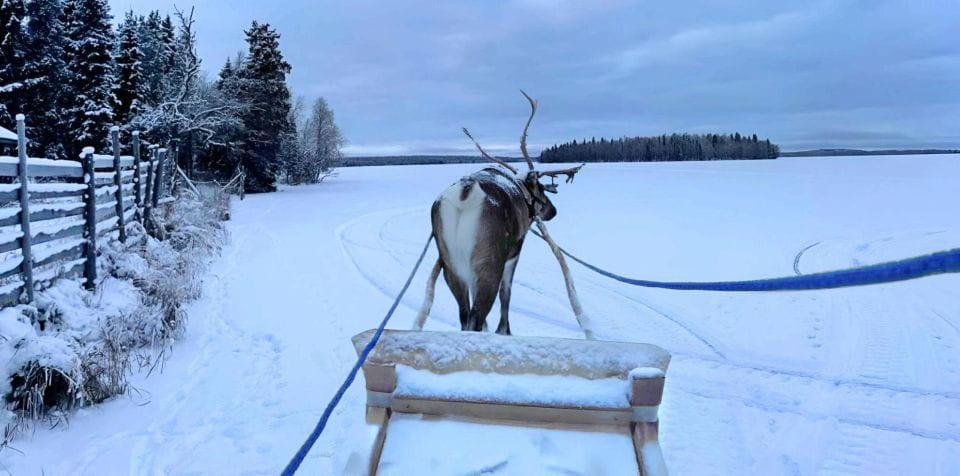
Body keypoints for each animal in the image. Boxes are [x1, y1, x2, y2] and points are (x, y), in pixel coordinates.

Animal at [414, 91, 583, 335]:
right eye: (542, 189)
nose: (554, 211)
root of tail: (466, 192)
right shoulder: (514, 253)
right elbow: (507, 293)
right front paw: (504, 330)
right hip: (489, 263)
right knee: (477, 315)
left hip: (451, 265)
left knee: (465, 316)